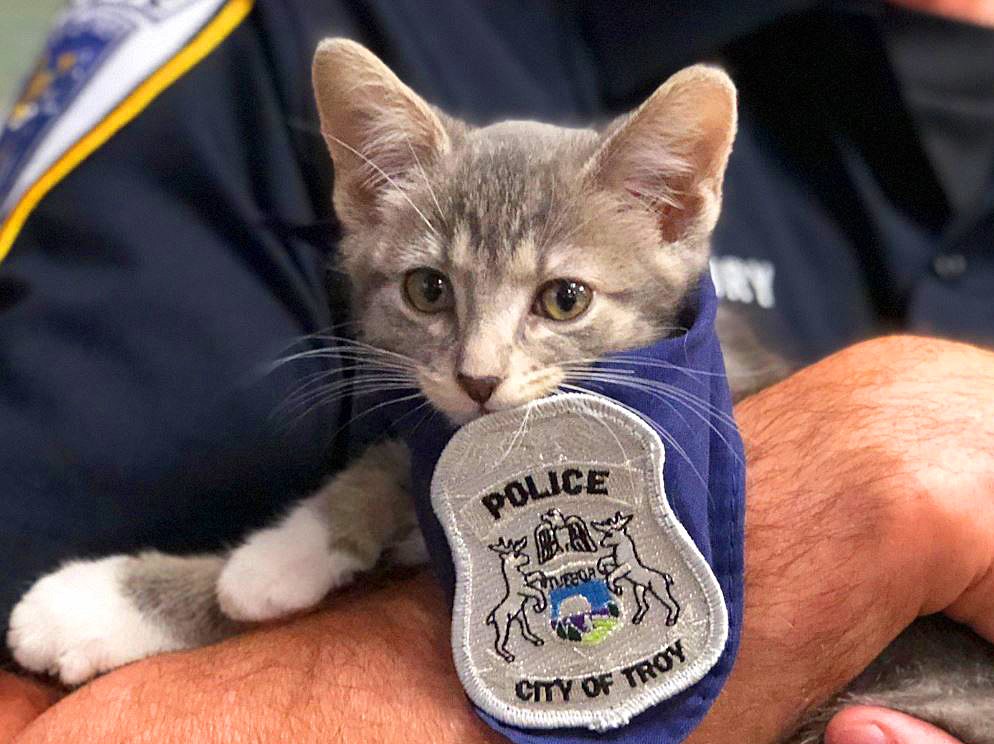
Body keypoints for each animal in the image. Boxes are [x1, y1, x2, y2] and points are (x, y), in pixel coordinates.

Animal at [3, 39, 988, 744]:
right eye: (427, 289)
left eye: (565, 299)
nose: (477, 376)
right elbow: (403, 456)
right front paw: (231, 572)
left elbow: (409, 475)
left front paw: (247, 568)